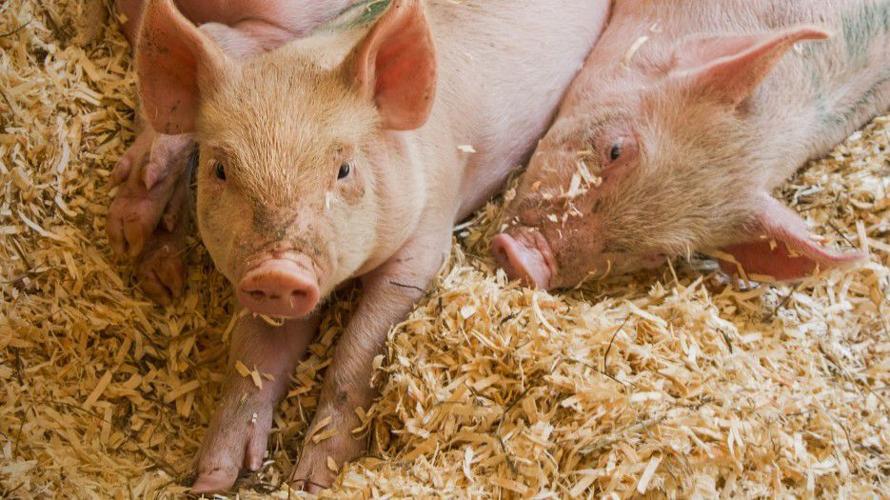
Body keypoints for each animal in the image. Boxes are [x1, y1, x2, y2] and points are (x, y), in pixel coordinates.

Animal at [133, 0, 609, 492]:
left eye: (344, 169)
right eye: (221, 170)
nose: (278, 271)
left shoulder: (425, 238)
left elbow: (358, 353)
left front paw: (313, 482)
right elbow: (254, 357)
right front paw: (211, 480)